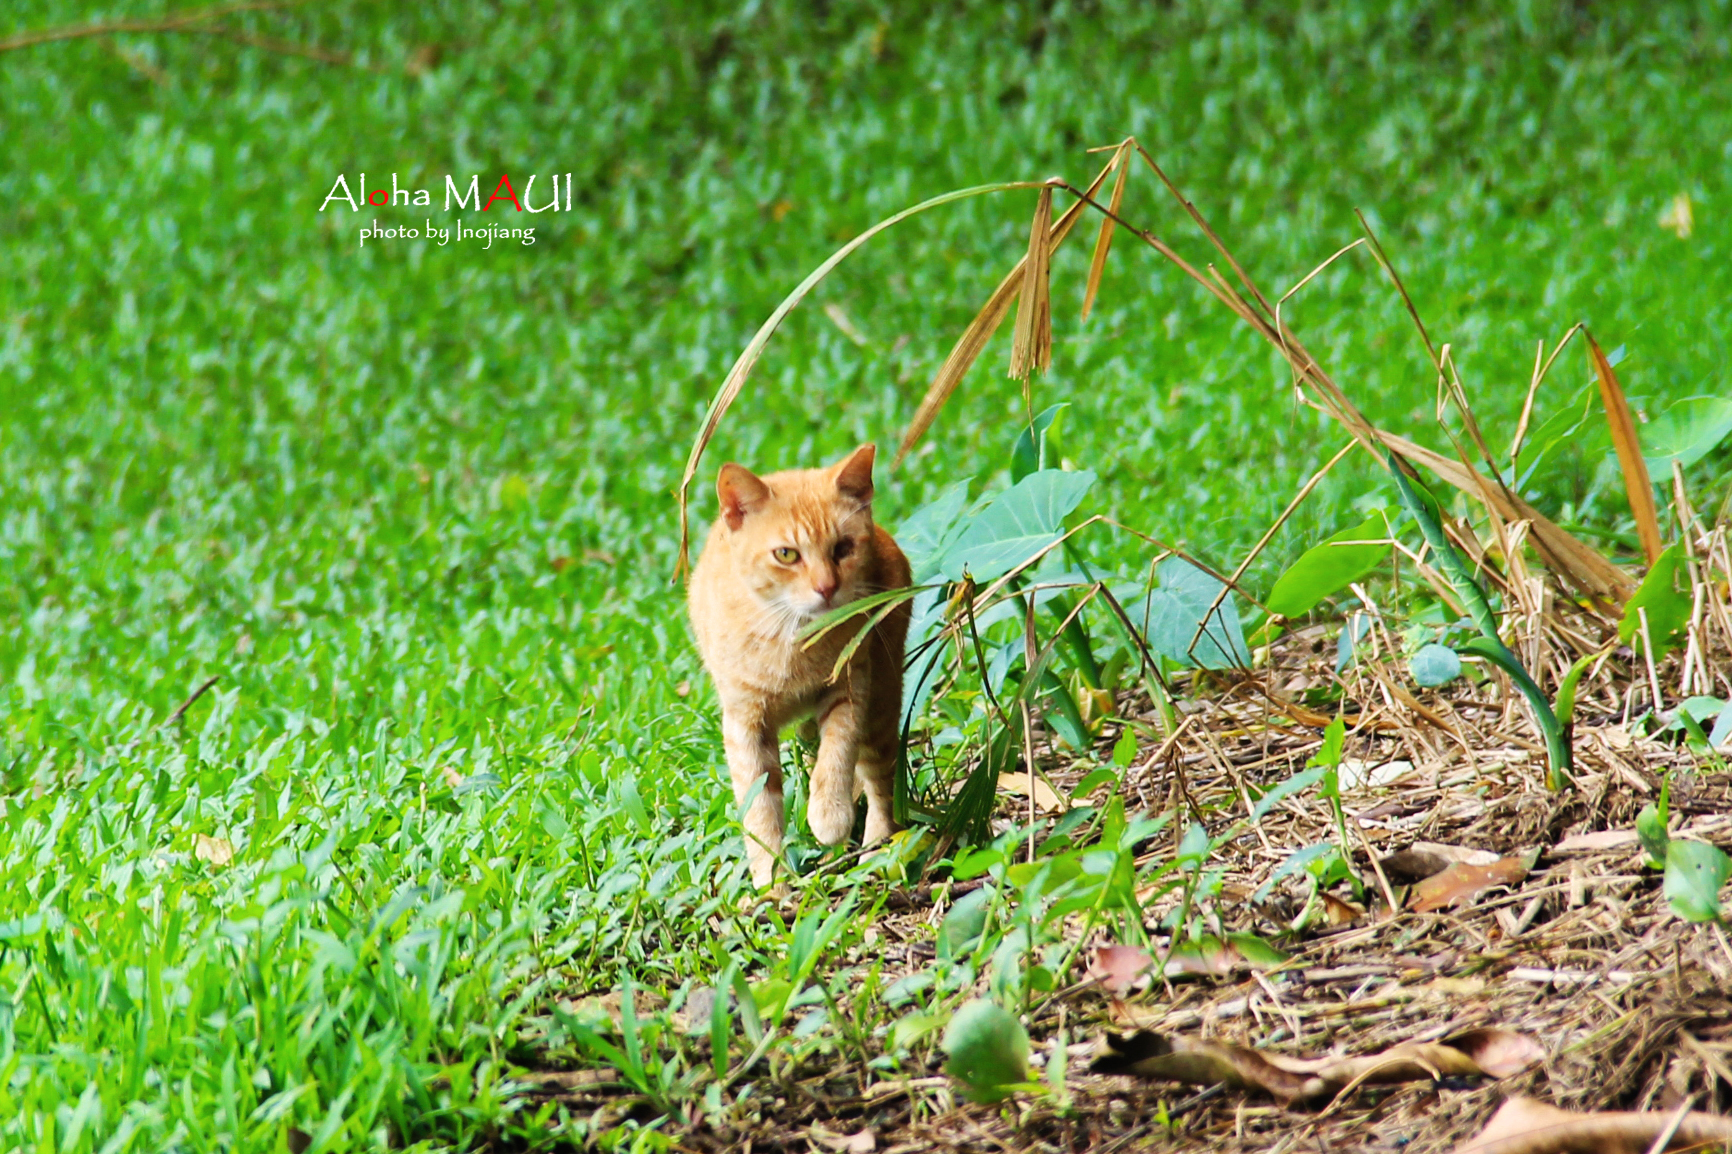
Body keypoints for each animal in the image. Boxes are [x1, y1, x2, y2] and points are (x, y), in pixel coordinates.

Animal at [685, 443, 914, 883]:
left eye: (843, 548)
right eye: (787, 554)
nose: (827, 587)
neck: (793, 639)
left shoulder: (851, 688)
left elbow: (837, 756)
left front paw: (829, 814)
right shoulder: (745, 725)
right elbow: (759, 807)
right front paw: (770, 883)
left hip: (881, 701)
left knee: (879, 778)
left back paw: (877, 848)